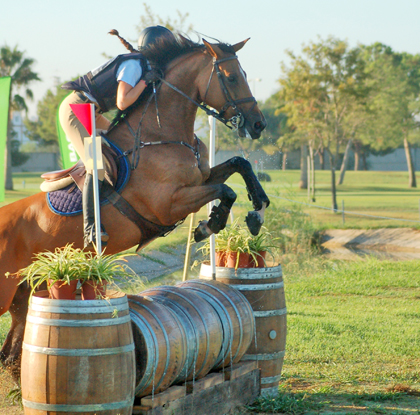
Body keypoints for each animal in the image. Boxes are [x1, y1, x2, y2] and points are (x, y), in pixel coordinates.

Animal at [0, 35, 270, 380]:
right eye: (233, 77)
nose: (258, 124)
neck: (161, 134)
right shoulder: (169, 203)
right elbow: (225, 190)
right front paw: (209, 224)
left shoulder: (200, 178)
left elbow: (239, 164)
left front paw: (256, 209)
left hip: (26, 288)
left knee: (14, 339)